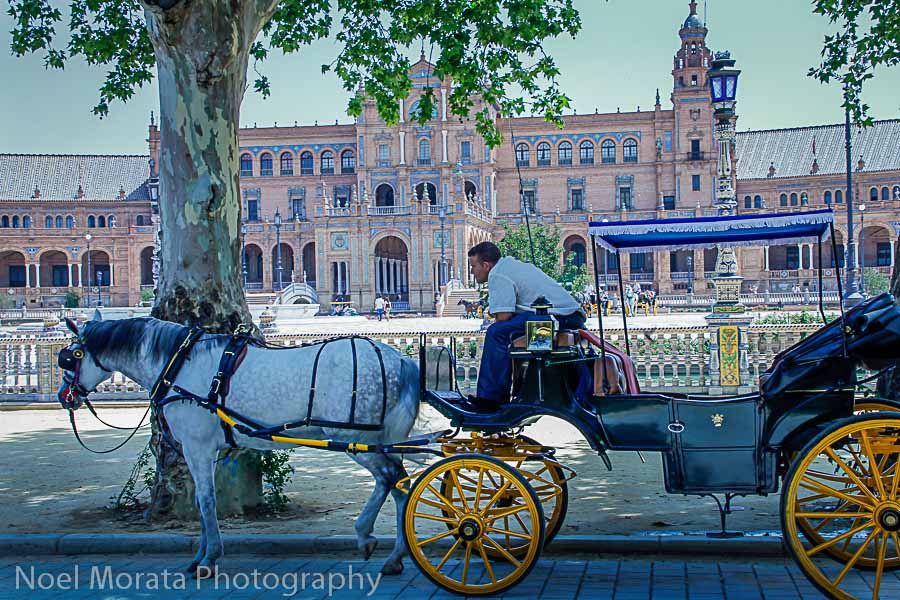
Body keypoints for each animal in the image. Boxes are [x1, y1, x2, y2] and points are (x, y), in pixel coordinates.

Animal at [54, 316, 450, 580]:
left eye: (69, 357)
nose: (64, 396)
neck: (179, 365)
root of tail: (400, 359)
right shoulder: (210, 450)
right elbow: (206, 500)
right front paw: (201, 554)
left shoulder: (197, 447)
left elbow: (205, 501)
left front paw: (208, 559)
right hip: (382, 440)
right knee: (400, 487)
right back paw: (395, 555)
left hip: (360, 440)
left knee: (390, 478)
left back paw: (366, 535)